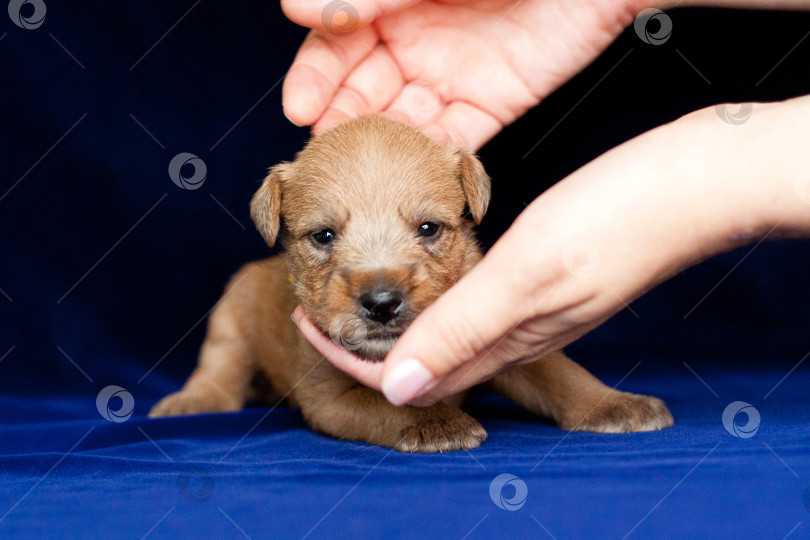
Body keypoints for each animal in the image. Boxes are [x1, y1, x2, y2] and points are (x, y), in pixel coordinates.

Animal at [150, 117, 668, 452]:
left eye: (428, 228)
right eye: (323, 236)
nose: (381, 303)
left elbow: (558, 372)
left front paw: (612, 403)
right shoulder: (329, 397)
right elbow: (386, 404)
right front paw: (435, 422)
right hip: (231, 316)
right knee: (220, 367)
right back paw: (193, 401)